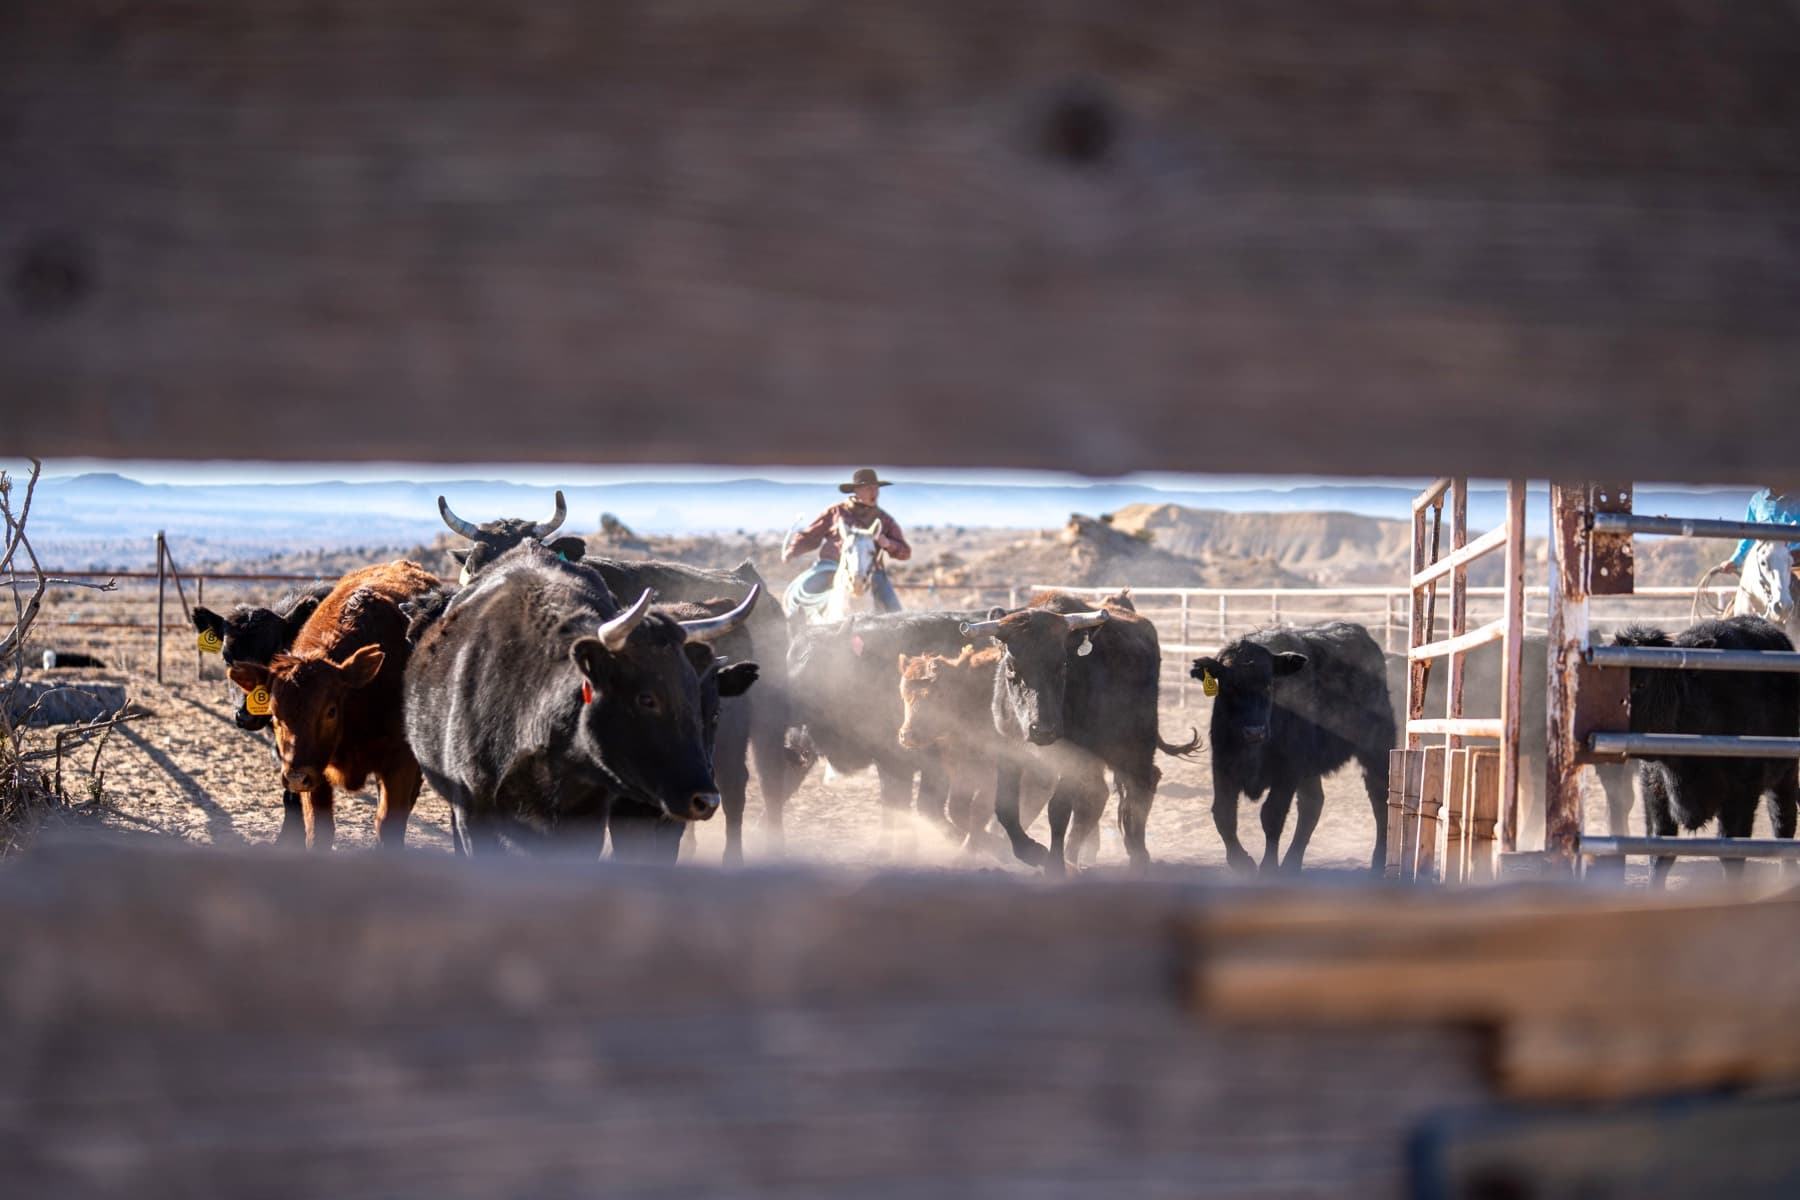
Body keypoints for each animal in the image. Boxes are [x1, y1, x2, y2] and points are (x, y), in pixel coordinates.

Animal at [225, 562, 441, 850]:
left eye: (330, 711)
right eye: (276, 716)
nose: (295, 778)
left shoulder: (400, 764)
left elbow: (388, 824)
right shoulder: (314, 773)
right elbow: (319, 828)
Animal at [961, 590, 1200, 873]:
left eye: (1063, 664)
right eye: (1011, 667)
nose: (1043, 730)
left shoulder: (1073, 756)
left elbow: (1058, 810)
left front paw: (1054, 865)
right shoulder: (1009, 749)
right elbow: (1005, 808)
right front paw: (1031, 852)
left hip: (1135, 741)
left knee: (1141, 783)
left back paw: (1137, 854)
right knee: (1097, 794)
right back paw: (1075, 856)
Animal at [1194, 622, 1394, 873]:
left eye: (1269, 684)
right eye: (1228, 686)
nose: (1254, 731)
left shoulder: (1288, 771)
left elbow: (1272, 815)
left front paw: (1268, 868)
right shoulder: (1222, 766)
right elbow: (1223, 814)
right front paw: (1242, 862)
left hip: (1377, 748)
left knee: (1380, 797)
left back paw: (1379, 861)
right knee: (1312, 805)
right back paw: (1291, 863)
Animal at [1611, 617, 1799, 888]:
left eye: (1641, 683)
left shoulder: (1742, 794)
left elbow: (1731, 855)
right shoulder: (1654, 790)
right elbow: (1658, 852)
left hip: (1785, 773)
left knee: (1783, 822)